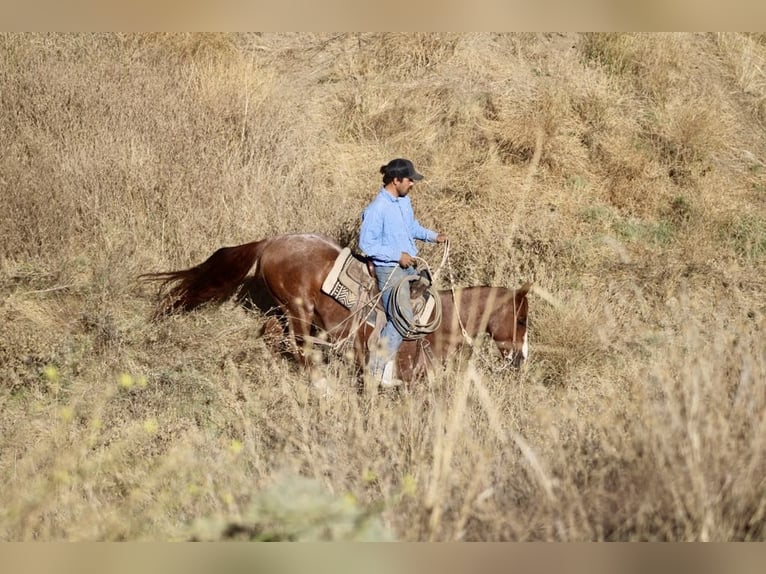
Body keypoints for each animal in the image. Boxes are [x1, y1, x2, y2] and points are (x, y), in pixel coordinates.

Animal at [140, 233, 531, 383]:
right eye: (522, 320)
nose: (520, 360)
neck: (438, 322)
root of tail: (272, 242)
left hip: (284, 311)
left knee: (273, 336)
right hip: (298, 310)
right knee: (299, 346)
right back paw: (320, 385)